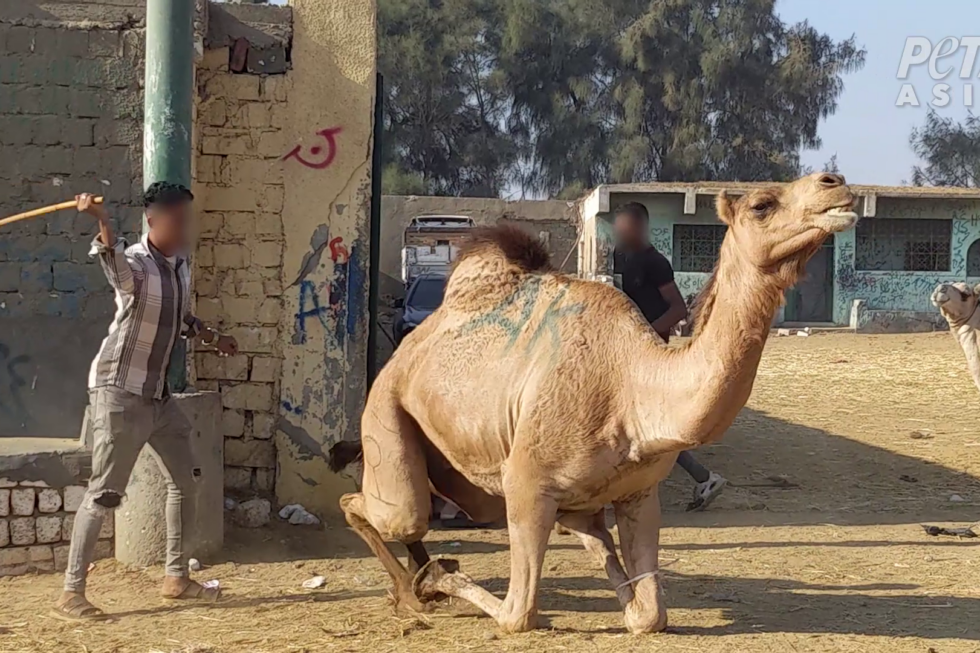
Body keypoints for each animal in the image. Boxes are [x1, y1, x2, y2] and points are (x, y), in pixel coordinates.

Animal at [334, 173, 858, 634]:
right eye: (762, 204)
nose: (835, 183)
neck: (634, 389)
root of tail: (404, 351)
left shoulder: (640, 494)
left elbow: (650, 615)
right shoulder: (526, 485)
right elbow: (517, 615)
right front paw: (441, 578)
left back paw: (416, 584)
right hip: (387, 418)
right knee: (378, 509)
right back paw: (412, 588)